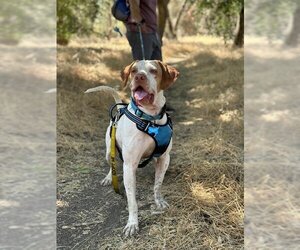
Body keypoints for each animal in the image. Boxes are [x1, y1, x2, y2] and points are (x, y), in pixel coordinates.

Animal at [84, 59, 178, 235]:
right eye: (134, 71)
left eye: (153, 70)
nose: (139, 77)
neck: (150, 118)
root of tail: (120, 108)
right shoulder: (129, 165)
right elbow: (132, 201)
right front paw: (132, 223)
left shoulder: (164, 158)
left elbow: (158, 184)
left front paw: (159, 201)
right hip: (109, 151)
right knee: (111, 165)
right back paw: (109, 178)